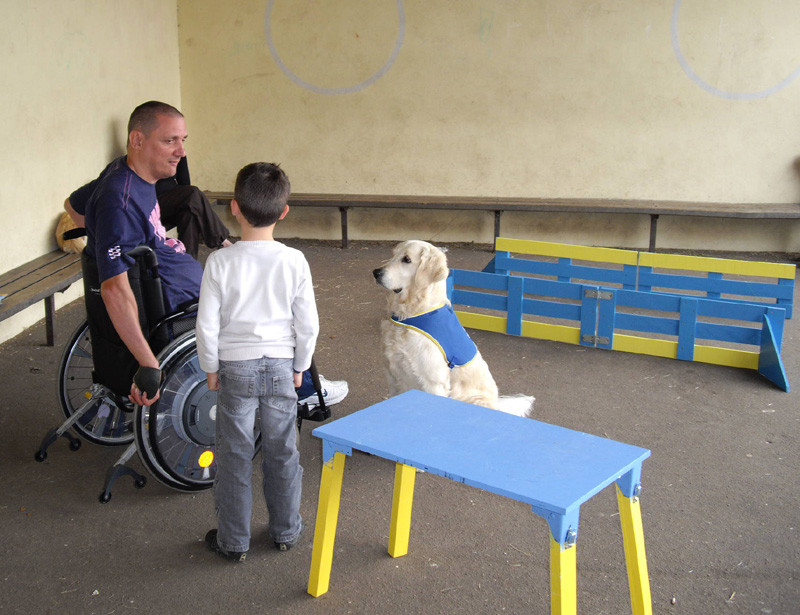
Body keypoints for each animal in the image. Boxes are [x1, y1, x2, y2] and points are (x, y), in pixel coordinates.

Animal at [374, 241, 536, 418]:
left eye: (407, 259)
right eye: (393, 254)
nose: (376, 272)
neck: (413, 315)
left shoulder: (433, 383)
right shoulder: (393, 375)